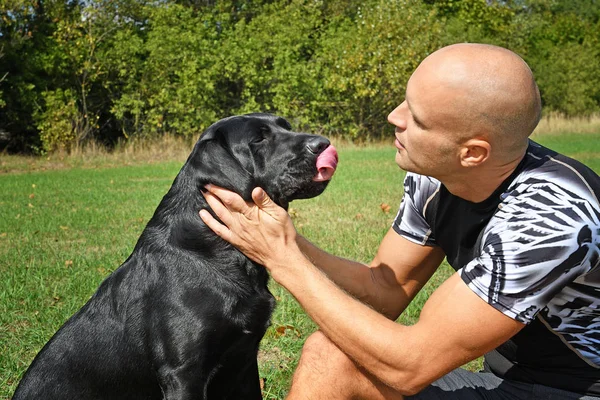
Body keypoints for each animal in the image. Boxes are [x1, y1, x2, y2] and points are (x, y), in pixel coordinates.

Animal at [12, 113, 338, 400]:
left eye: (286, 126)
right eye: (258, 139)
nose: (324, 143)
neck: (217, 251)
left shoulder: (244, 363)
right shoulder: (182, 372)